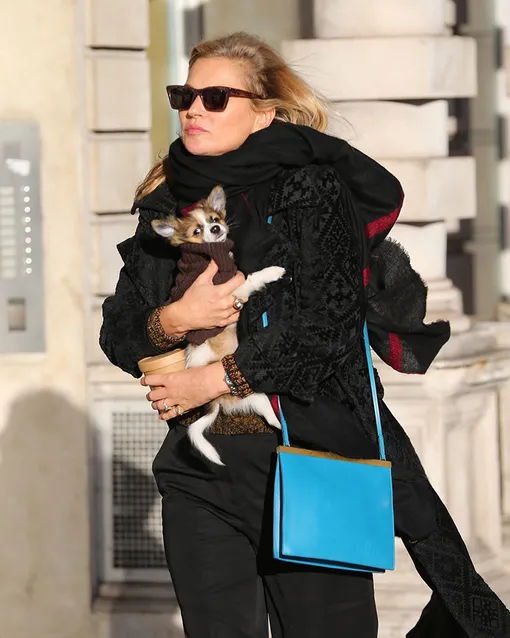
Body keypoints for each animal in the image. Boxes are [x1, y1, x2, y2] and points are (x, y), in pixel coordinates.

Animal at [151, 185, 283, 465]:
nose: (215, 229)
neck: (209, 255)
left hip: (252, 397)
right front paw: (272, 271)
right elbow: (252, 278)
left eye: (214, 219)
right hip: (250, 392)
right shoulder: (232, 289)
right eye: (196, 231)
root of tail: (215, 402)